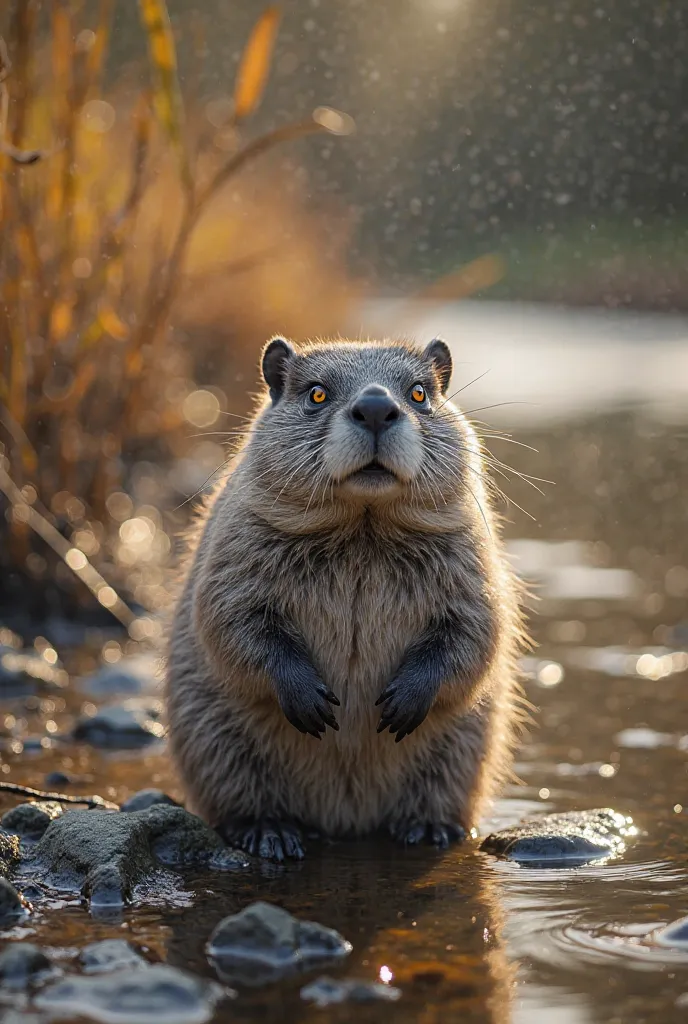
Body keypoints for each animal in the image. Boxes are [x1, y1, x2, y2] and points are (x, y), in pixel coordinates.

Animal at [164, 339, 528, 860]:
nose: (375, 407)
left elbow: (476, 632)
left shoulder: (475, 563)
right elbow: (231, 620)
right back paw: (272, 833)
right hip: (217, 744)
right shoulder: (232, 551)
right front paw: (314, 705)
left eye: (420, 392)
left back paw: (427, 830)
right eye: (316, 393)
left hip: (463, 754)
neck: (363, 529)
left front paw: (399, 706)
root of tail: (346, 822)